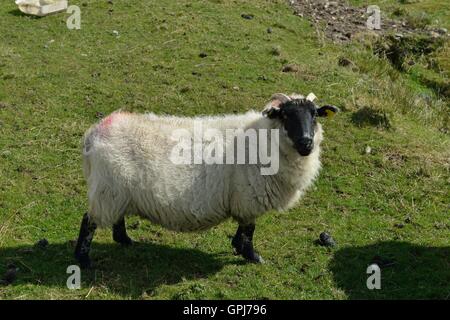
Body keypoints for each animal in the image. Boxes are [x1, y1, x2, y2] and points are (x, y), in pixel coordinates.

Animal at [74, 93, 338, 268]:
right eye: (285, 115)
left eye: (314, 115)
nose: (306, 143)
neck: (266, 139)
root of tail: (94, 132)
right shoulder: (247, 198)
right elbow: (249, 229)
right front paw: (252, 256)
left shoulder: (244, 201)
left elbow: (244, 229)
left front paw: (238, 247)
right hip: (108, 189)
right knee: (89, 221)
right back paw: (83, 259)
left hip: (117, 190)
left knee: (116, 219)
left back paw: (126, 241)